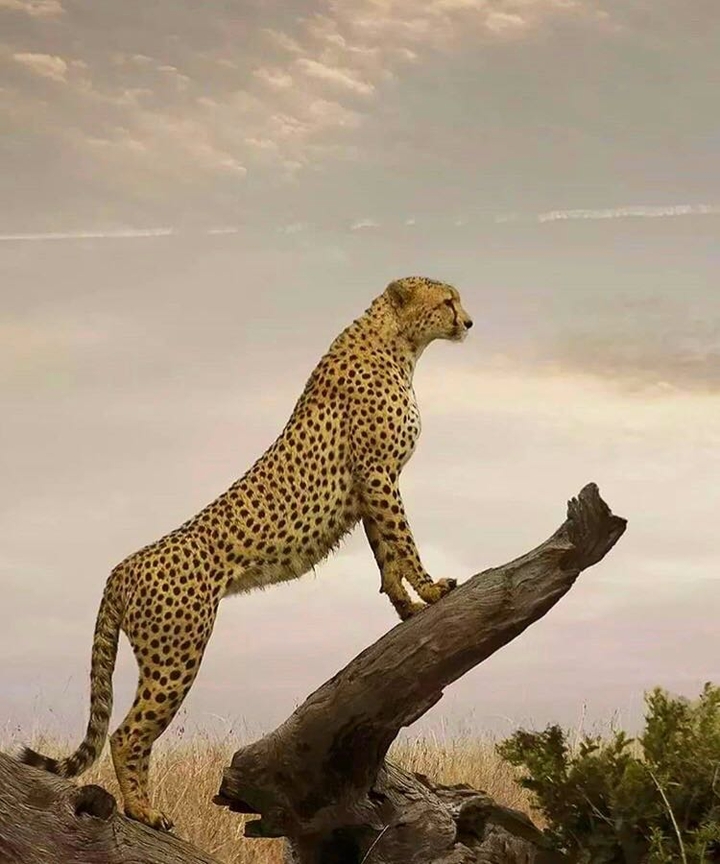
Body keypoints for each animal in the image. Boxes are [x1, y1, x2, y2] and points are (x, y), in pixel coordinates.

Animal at [19, 275, 473, 831]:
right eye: (447, 300)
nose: (468, 321)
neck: (400, 343)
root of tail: (121, 566)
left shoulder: (369, 486)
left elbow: (385, 554)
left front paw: (407, 607)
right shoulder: (377, 472)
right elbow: (403, 539)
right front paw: (432, 590)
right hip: (178, 653)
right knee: (127, 733)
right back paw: (143, 811)